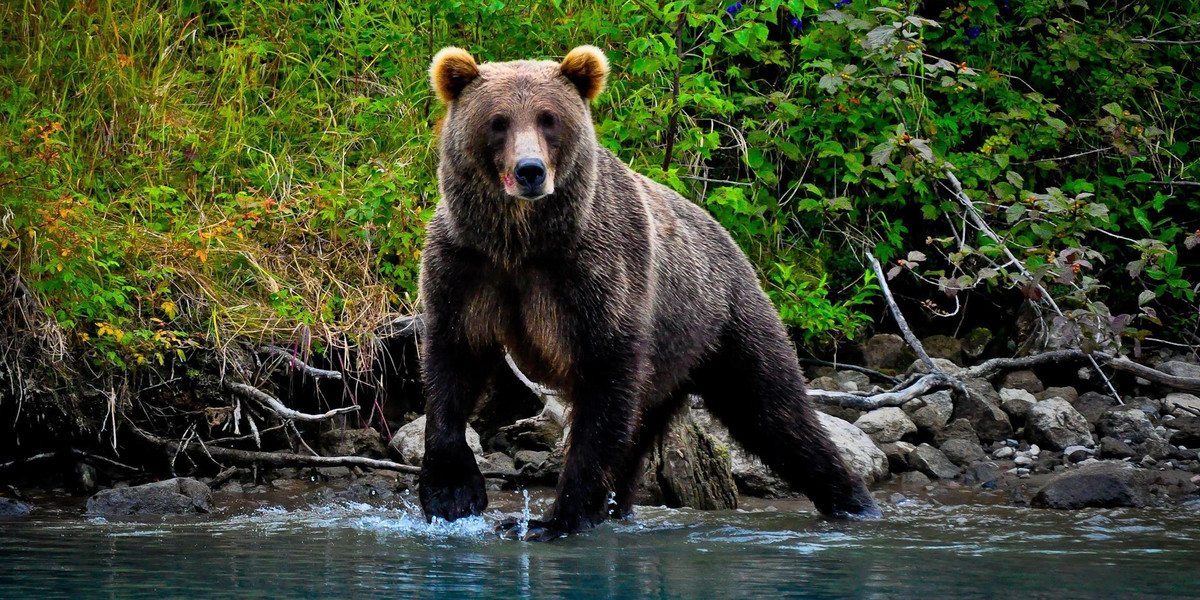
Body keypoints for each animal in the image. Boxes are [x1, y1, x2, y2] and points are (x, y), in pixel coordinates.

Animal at [417, 43, 878, 540]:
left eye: (548, 118)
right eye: (498, 121)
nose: (530, 171)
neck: (520, 242)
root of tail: (730, 240)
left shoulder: (596, 275)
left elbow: (603, 387)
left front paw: (555, 519)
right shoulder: (467, 266)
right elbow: (452, 362)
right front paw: (451, 494)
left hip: (721, 323)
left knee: (773, 411)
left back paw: (854, 501)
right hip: (670, 359)